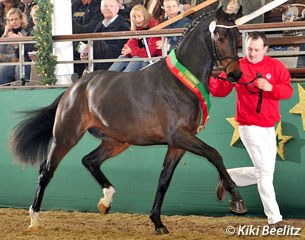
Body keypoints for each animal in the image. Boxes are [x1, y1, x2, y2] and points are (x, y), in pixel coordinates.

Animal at [10, 7, 247, 234]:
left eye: (237, 35)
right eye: (221, 37)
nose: (235, 75)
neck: (181, 82)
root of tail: (73, 88)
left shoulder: (178, 144)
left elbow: (164, 179)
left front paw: (157, 222)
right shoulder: (179, 136)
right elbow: (214, 154)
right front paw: (236, 199)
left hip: (116, 141)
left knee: (89, 161)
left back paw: (106, 201)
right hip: (66, 136)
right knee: (46, 170)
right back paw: (34, 219)